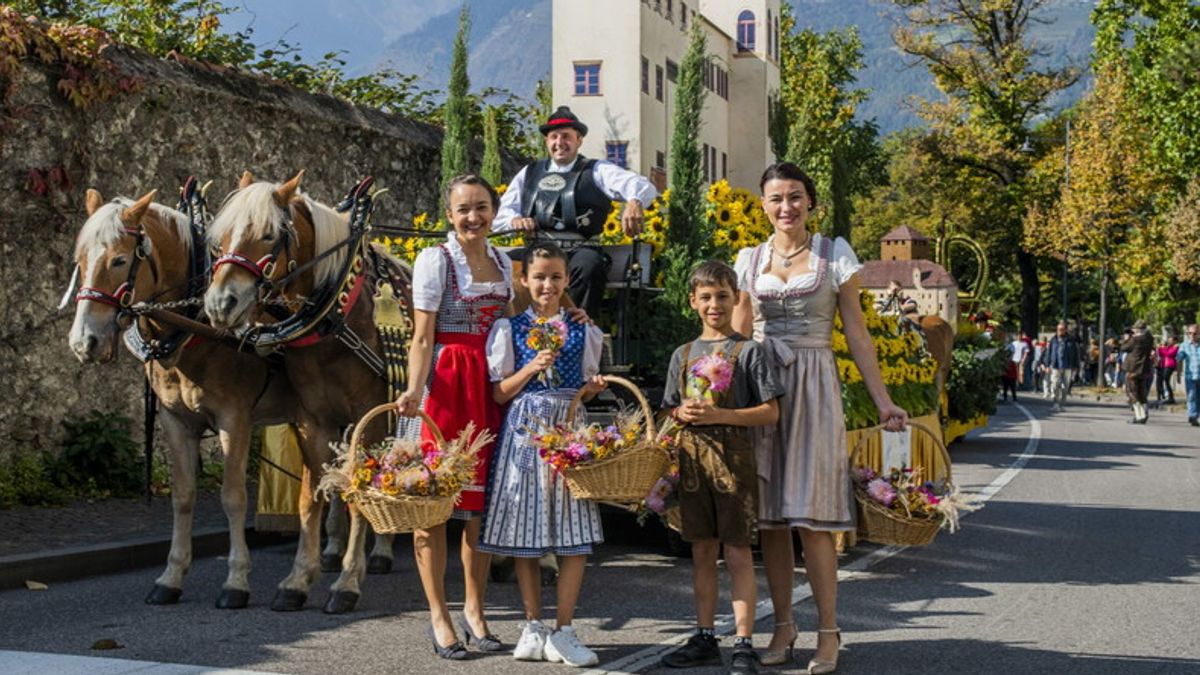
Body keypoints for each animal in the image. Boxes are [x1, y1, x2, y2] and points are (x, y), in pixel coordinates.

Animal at [68, 187, 297, 605]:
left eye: (119, 260)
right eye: (80, 260)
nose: (83, 342)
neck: (194, 328)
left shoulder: (234, 420)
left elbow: (233, 497)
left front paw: (236, 580)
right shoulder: (176, 421)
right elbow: (183, 495)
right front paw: (171, 576)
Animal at [202, 170, 408, 612]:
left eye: (267, 235)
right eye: (220, 235)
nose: (220, 303)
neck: (334, 316)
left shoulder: (370, 417)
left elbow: (359, 492)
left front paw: (347, 584)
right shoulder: (313, 419)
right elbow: (311, 497)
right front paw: (298, 580)